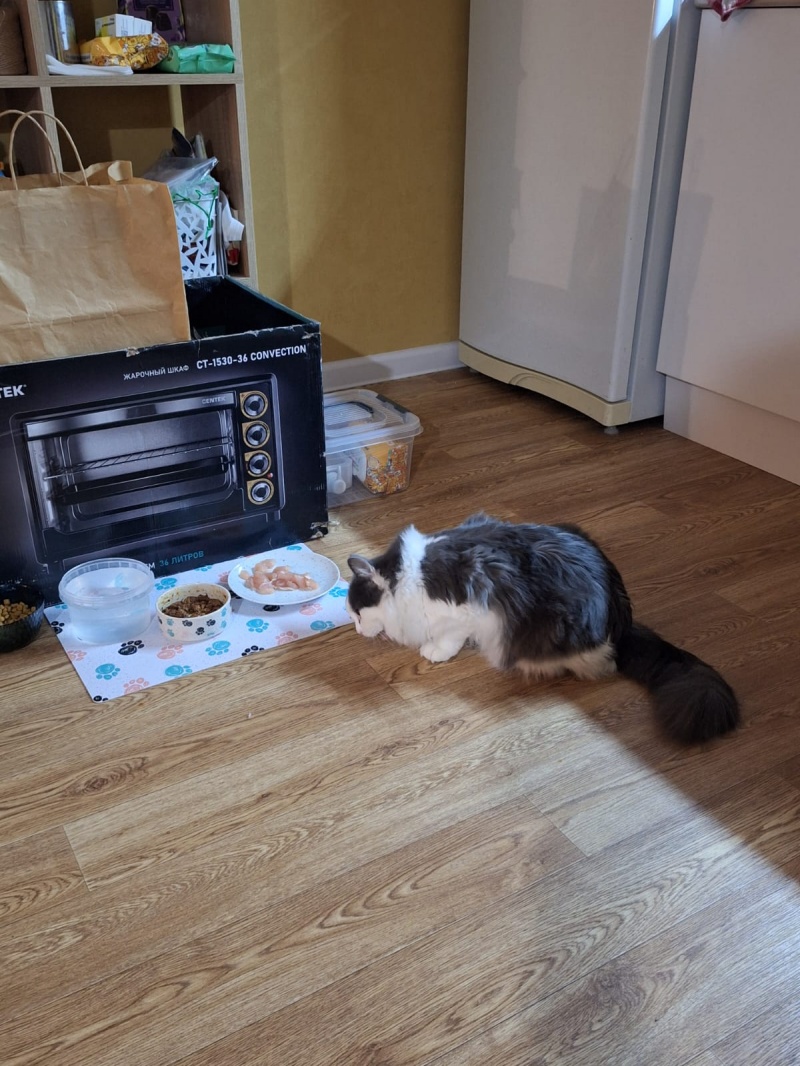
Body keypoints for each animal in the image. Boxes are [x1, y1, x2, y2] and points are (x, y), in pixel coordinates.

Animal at [346, 512, 740, 745]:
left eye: (358, 614)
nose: (357, 632)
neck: (407, 577)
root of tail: (621, 622)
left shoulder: (468, 611)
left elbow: (448, 637)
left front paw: (435, 652)